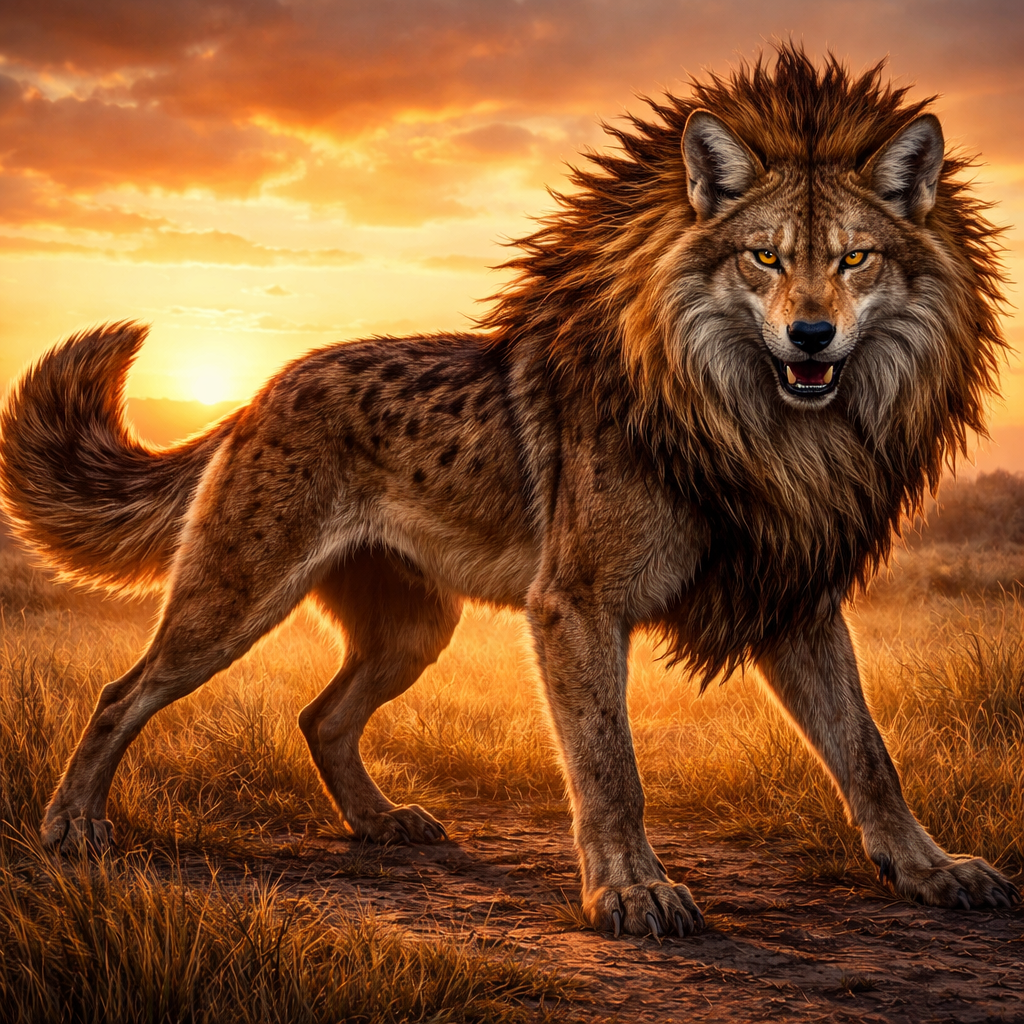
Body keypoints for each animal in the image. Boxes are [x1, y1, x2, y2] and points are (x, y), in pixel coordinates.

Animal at [0, 46, 1018, 938]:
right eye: (764, 258)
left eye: (854, 259)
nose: (811, 336)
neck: (763, 434)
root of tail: (264, 387)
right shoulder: (578, 608)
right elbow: (611, 766)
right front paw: (630, 894)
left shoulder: (792, 605)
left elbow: (869, 754)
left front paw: (930, 871)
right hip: (233, 608)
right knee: (121, 694)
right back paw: (72, 829)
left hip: (413, 634)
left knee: (318, 717)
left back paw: (381, 823)